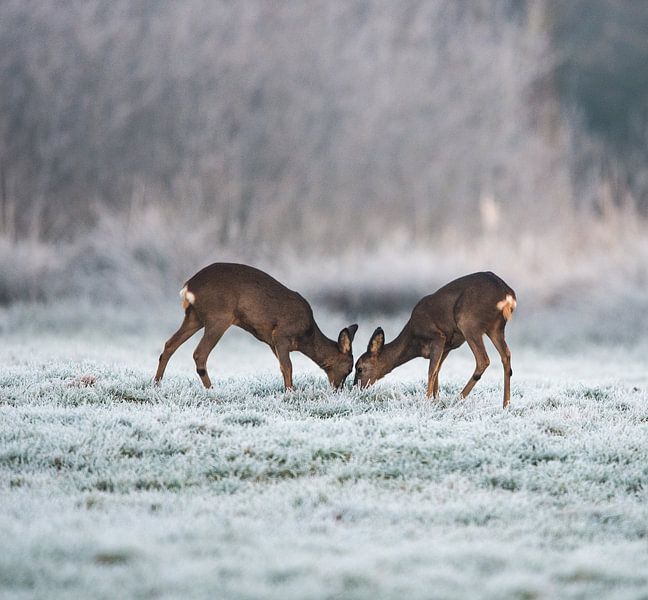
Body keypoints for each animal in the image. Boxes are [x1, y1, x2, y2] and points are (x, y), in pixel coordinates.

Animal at [156, 262, 360, 390]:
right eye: (349, 368)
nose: (338, 389)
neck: (307, 336)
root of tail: (189, 286)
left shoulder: (272, 343)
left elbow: (282, 367)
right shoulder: (281, 335)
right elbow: (288, 366)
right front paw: (291, 392)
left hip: (194, 316)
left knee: (169, 344)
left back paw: (156, 383)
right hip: (219, 316)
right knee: (199, 353)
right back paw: (212, 389)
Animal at [354, 272, 516, 408]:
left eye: (359, 368)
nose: (355, 388)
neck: (414, 341)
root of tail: (508, 295)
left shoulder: (438, 336)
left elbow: (431, 371)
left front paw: (426, 401)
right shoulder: (447, 346)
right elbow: (437, 370)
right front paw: (435, 400)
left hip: (469, 323)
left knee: (483, 359)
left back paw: (458, 399)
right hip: (496, 328)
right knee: (506, 356)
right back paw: (506, 405)